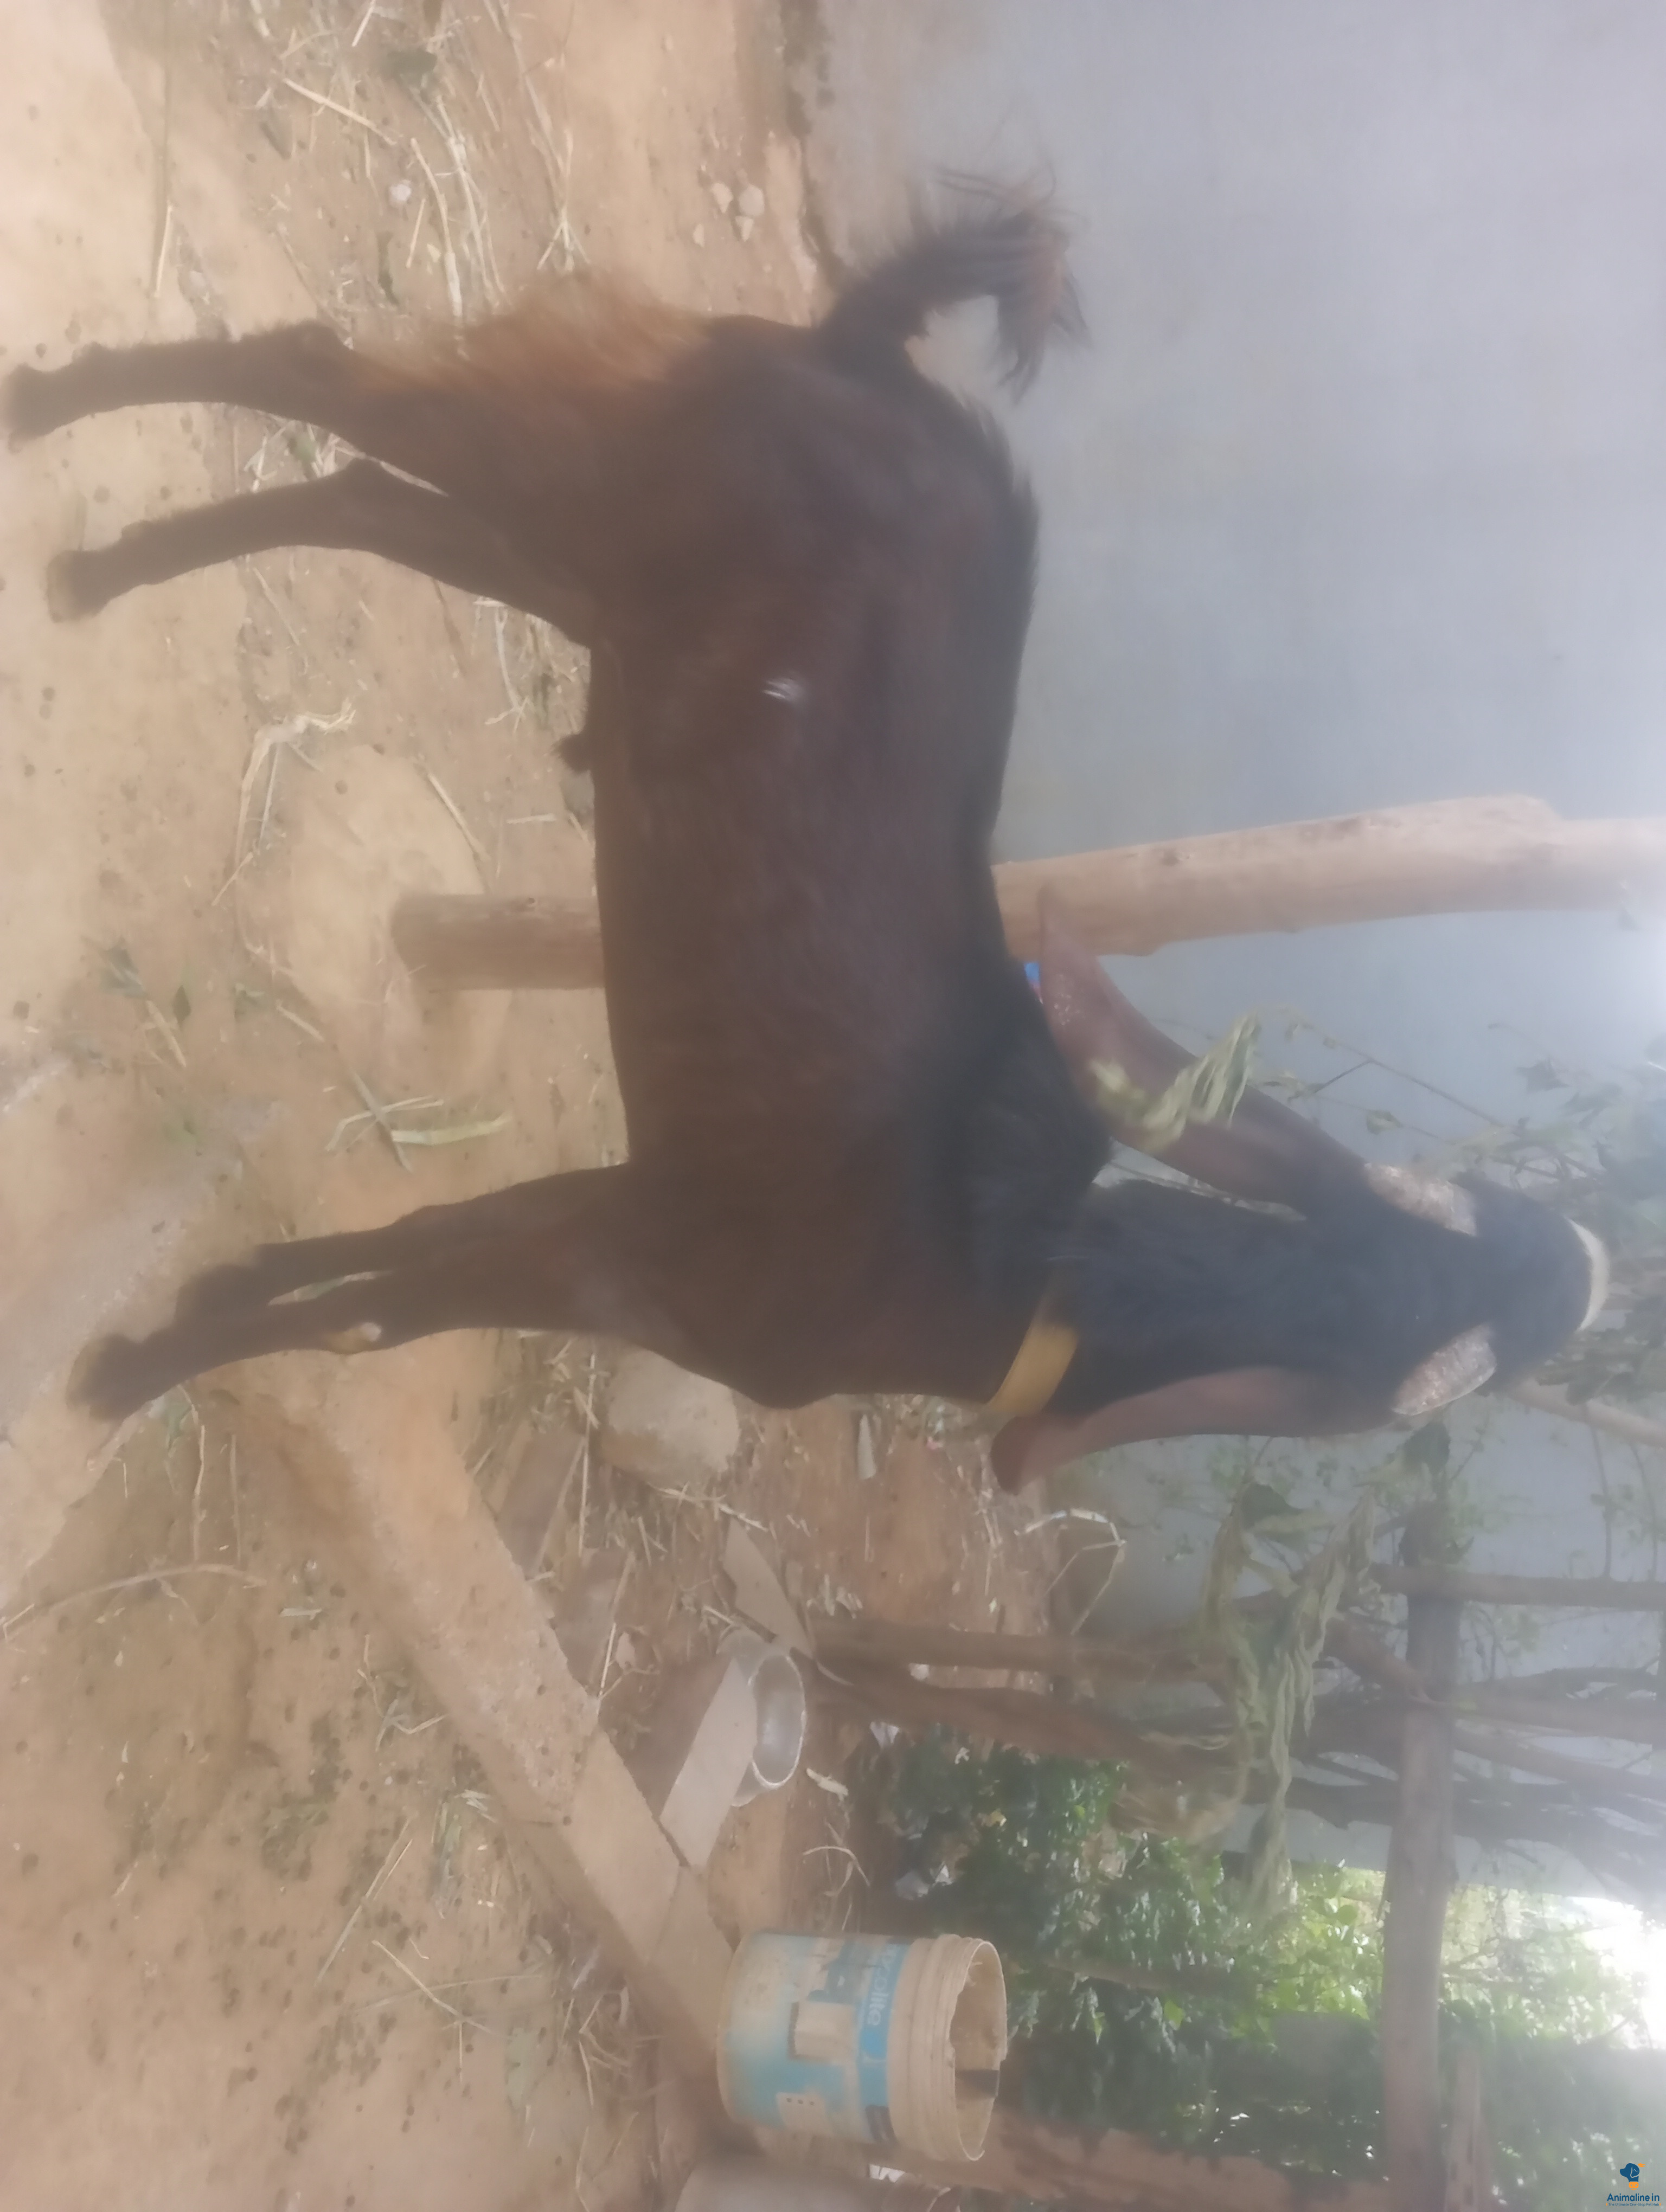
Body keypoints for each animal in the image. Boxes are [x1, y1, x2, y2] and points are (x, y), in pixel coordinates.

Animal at [4, 200, 1607, 1488]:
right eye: (1452, 1374)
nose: (1588, 1276)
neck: (1018, 1271)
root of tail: (870, 360)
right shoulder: (632, 1276)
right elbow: (376, 1319)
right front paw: (129, 1373)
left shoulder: (625, 1209)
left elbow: (418, 1239)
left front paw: (220, 1293)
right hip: (594, 473)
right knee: (315, 367)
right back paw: (49, 426)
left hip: (605, 564)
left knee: (367, 494)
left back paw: (99, 561)